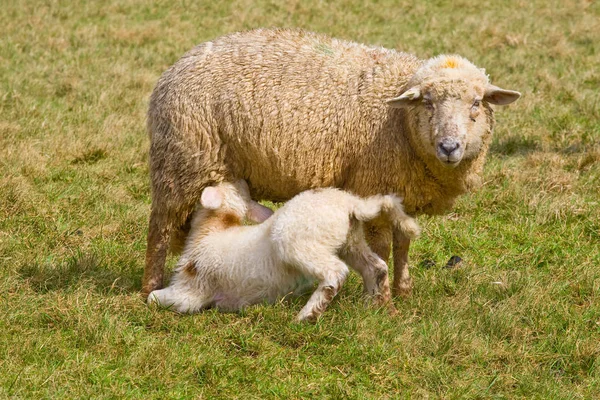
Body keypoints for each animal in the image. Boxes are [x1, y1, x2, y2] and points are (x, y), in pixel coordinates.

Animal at [142, 28, 520, 296]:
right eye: (427, 102)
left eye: (476, 103)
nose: (449, 147)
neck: (397, 120)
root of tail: (175, 67)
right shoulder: (373, 185)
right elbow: (382, 246)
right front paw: (381, 296)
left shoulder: (402, 191)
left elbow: (403, 245)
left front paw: (403, 290)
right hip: (181, 162)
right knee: (160, 229)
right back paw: (150, 288)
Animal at [146, 181, 420, 322]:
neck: (214, 230)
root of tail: (349, 202)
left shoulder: (191, 291)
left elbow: (154, 298)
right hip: (350, 240)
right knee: (375, 266)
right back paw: (370, 303)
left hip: (297, 242)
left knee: (335, 272)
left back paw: (309, 314)